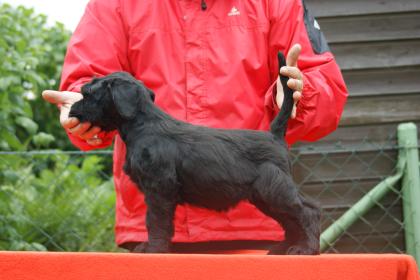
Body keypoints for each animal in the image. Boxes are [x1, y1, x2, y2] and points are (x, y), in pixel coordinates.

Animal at [69, 53, 320, 256]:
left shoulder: (159, 187)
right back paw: (284, 248)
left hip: (274, 189)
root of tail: (275, 135)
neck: (143, 125)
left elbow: (155, 220)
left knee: (307, 211)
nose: (72, 109)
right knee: (290, 220)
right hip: (265, 196)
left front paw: (154, 248)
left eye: (88, 93)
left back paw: (306, 249)